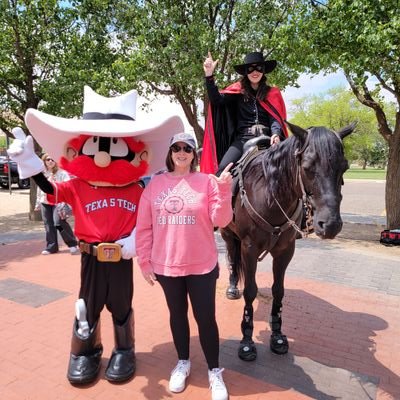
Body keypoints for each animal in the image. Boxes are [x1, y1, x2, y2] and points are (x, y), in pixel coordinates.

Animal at [222, 120, 356, 360]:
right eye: (308, 167)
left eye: (344, 167)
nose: (330, 224)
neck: (269, 195)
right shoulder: (249, 248)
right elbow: (250, 290)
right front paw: (246, 340)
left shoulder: (285, 250)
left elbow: (279, 290)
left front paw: (277, 335)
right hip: (228, 235)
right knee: (232, 259)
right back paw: (232, 287)